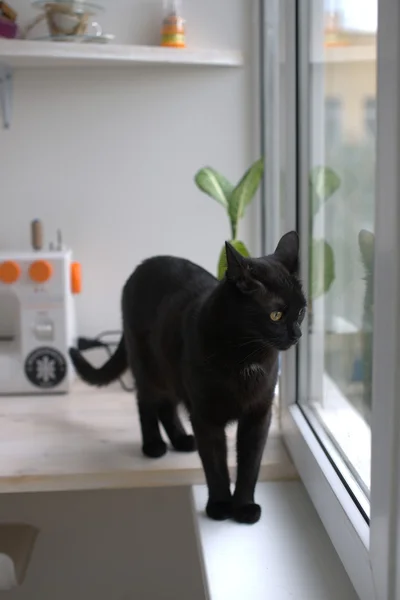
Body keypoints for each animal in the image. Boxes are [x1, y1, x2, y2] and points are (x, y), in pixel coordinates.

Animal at [69, 232, 306, 524]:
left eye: (301, 311)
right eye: (276, 315)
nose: (297, 334)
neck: (246, 357)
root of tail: (143, 266)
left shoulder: (258, 415)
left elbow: (250, 464)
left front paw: (244, 507)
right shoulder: (205, 416)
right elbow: (215, 463)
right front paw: (219, 505)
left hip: (170, 371)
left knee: (167, 406)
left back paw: (181, 440)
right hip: (148, 367)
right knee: (147, 402)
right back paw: (154, 445)